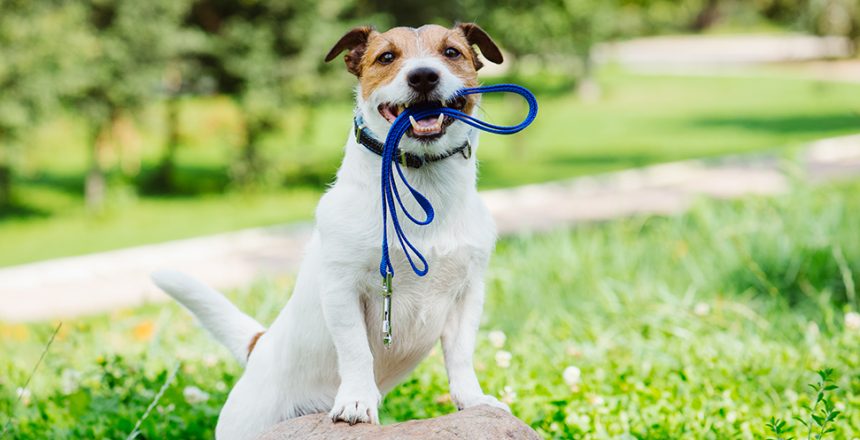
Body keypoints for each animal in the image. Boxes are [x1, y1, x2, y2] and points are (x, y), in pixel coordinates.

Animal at [152, 24, 508, 440]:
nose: (423, 76)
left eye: (451, 52)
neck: (423, 187)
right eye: (387, 57)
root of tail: (261, 347)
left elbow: (461, 354)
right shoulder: (343, 288)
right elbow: (355, 350)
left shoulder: (468, 293)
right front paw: (356, 401)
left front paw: (473, 399)